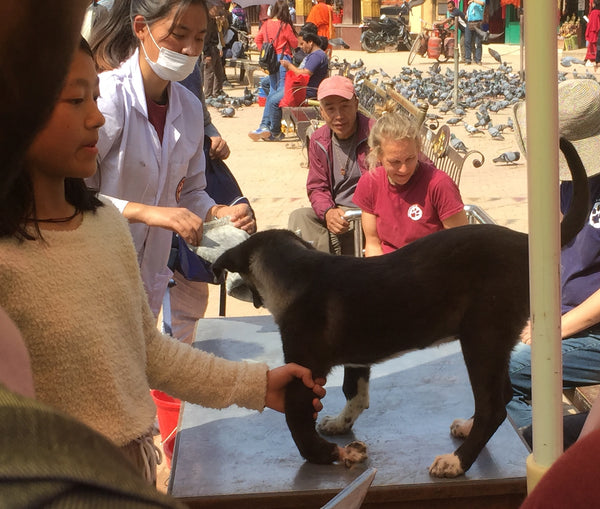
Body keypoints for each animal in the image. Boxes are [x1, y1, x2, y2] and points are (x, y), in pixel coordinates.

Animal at [212, 138, 592, 476]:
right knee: (503, 394)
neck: (294, 269)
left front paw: (329, 454)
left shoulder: (303, 371)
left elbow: (298, 424)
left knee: (493, 407)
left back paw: (457, 462)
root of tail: (525, 242)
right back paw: (467, 430)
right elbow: (355, 393)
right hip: (494, 342)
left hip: (482, 337)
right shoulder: (356, 358)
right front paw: (340, 424)